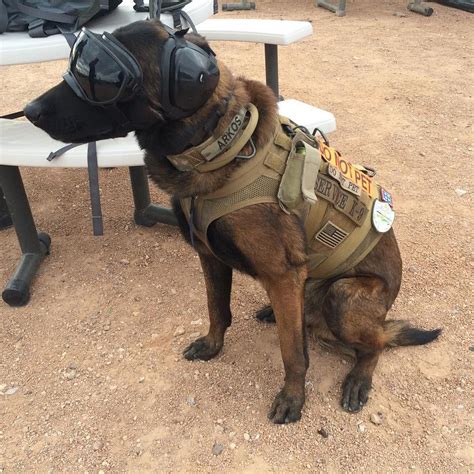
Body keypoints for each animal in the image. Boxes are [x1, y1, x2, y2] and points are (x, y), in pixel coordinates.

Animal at [25, 20, 440, 424]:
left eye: (101, 77)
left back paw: (358, 378)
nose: (29, 110)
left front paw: (293, 397)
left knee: (375, 344)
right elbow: (217, 309)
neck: (218, 145)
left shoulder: (282, 274)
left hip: (343, 294)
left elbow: (293, 352)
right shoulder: (211, 257)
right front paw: (213, 345)